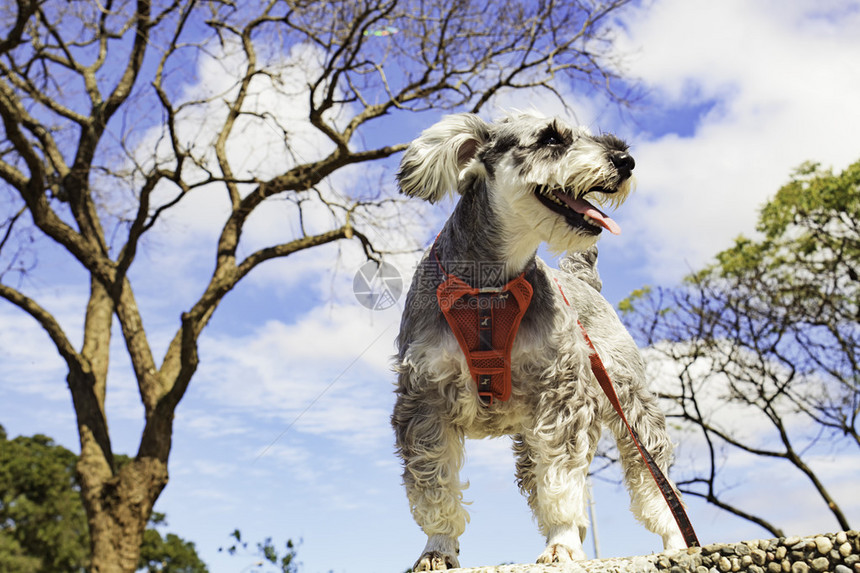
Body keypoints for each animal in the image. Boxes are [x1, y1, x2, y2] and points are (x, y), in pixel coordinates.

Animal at [394, 111, 688, 568]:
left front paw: (562, 543)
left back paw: (675, 543)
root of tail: (584, 280)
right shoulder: (424, 405)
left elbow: (561, 480)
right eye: (550, 137)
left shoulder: (560, 396)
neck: (489, 289)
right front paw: (438, 548)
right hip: (533, 437)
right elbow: (434, 485)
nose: (625, 160)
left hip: (630, 408)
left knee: (655, 481)